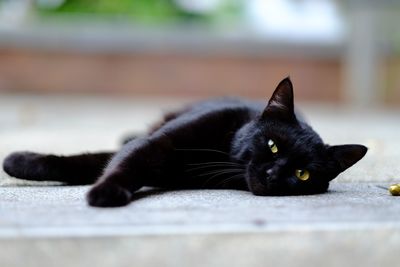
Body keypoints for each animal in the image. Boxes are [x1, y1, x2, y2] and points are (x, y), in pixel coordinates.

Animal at [2, 77, 366, 207]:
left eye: (303, 174)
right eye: (272, 144)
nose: (274, 174)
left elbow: (94, 163)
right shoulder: (158, 143)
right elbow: (105, 161)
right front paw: (17, 162)